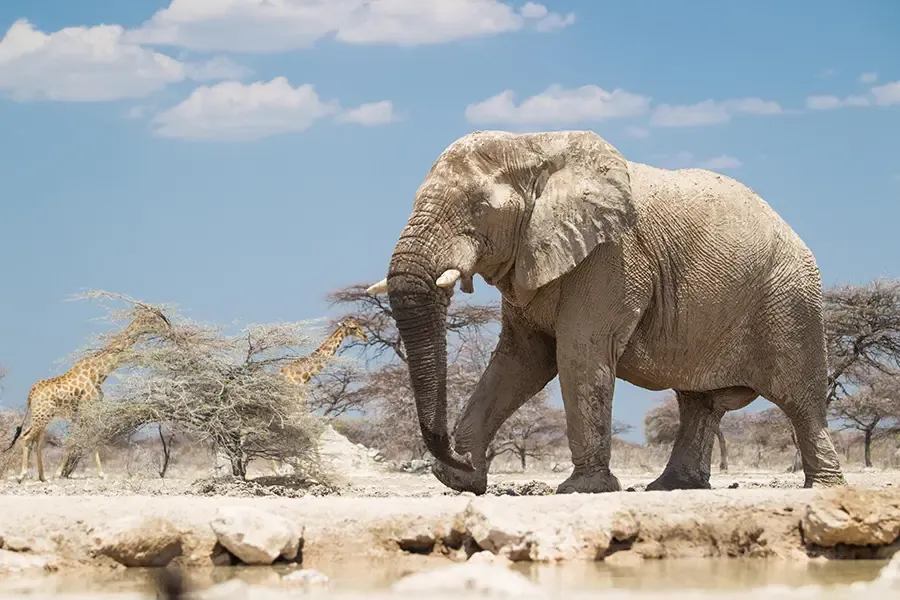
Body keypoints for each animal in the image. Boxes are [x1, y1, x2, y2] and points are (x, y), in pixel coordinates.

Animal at [366, 129, 846, 495]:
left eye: (480, 208)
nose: (455, 453)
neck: (535, 146)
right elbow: (521, 360)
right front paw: (460, 479)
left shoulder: (613, 257)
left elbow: (579, 353)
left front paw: (582, 490)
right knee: (699, 403)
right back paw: (673, 487)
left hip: (790, 300)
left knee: (800, 398)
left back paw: (823, 487)